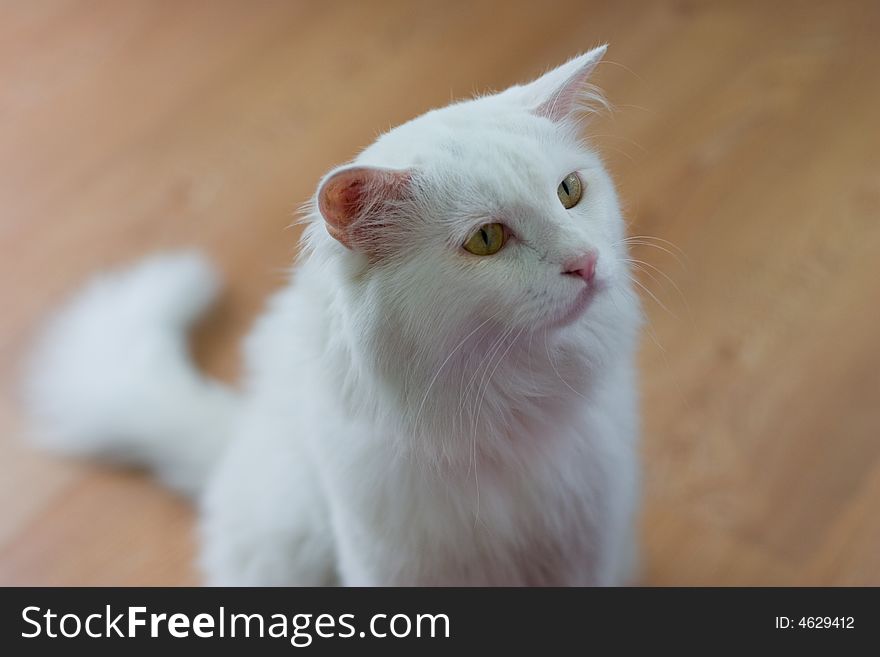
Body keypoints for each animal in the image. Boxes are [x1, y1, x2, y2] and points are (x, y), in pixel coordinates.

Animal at [25, 48, 640, 588]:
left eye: (569, 191)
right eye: (487, 239)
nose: (586, 262)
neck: (510, 414)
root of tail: (240, 438)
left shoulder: (589, 548)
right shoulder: (391, 566)